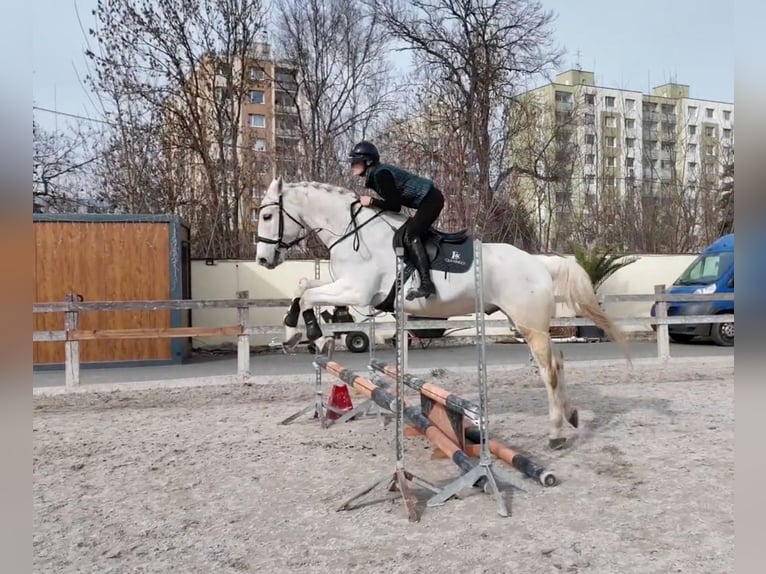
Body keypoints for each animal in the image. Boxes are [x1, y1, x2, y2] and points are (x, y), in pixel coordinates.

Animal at [254, 176, 631, 449]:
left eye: (267, 216)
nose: (262, 260)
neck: (353, 233)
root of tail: (541, 262)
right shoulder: (348, 289)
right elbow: (303, 286)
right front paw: (296, 333)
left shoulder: (356, 290)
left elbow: (307, 295)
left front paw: (305, 333)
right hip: (525, 323)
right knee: (560, 360)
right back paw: (571, 415)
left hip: (530, 325)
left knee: (549, 370)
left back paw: (555, 434)